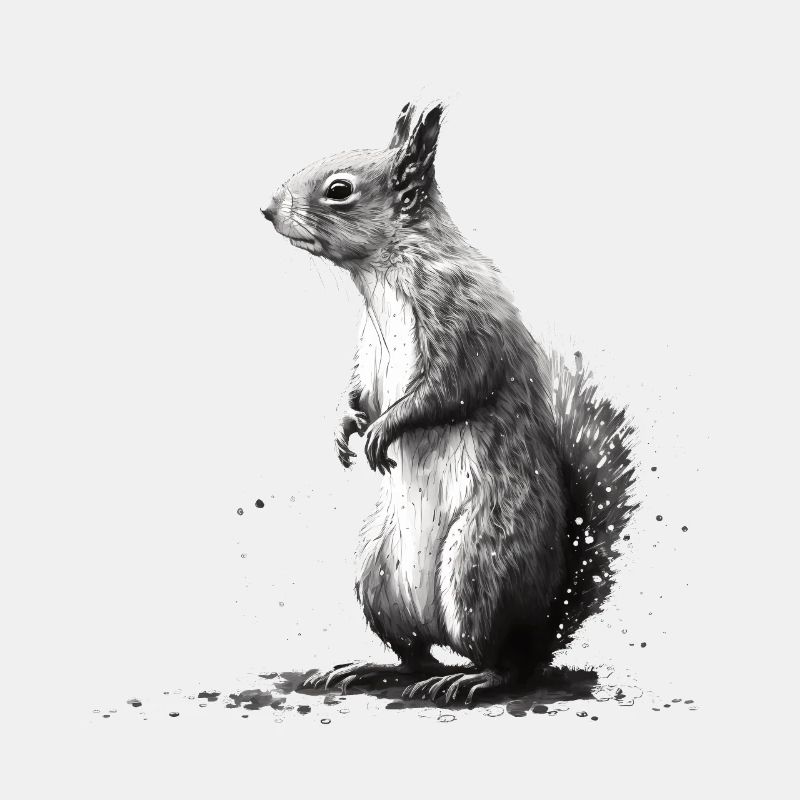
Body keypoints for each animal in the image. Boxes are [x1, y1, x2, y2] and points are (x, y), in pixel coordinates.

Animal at [261, 102, 637, 704]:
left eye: (339, 190)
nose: (268, 210)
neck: (383, 272)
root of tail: (543, 627)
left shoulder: (462, 322)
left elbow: (448, 390)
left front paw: (383, 430)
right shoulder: (369, 348)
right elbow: (359, 390)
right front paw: (345, 426)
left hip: (480, 565)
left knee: (505, 663)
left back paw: (472, 678)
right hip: (377, 574)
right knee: (414, 654)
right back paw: (368, 668)